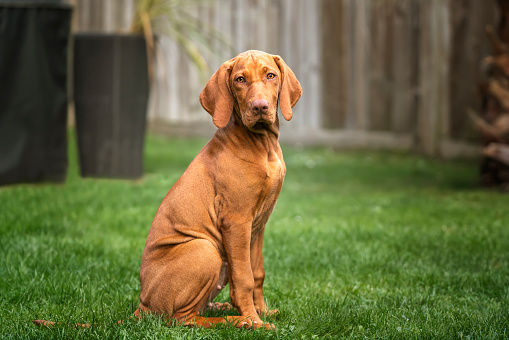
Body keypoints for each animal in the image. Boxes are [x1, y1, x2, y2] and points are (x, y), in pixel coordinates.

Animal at [137, 49, 300, 328]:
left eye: (271, 75)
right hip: (205, 249)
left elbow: (257, 273)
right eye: (240, 80)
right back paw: (235, 320)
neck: (263, 145)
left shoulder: (258, 225)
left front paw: (262, 311)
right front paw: (255, 320)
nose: (260, 107)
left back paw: (223, 308)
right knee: (183, 319)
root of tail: (141, 305)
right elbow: (244, 278)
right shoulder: (236, 221)